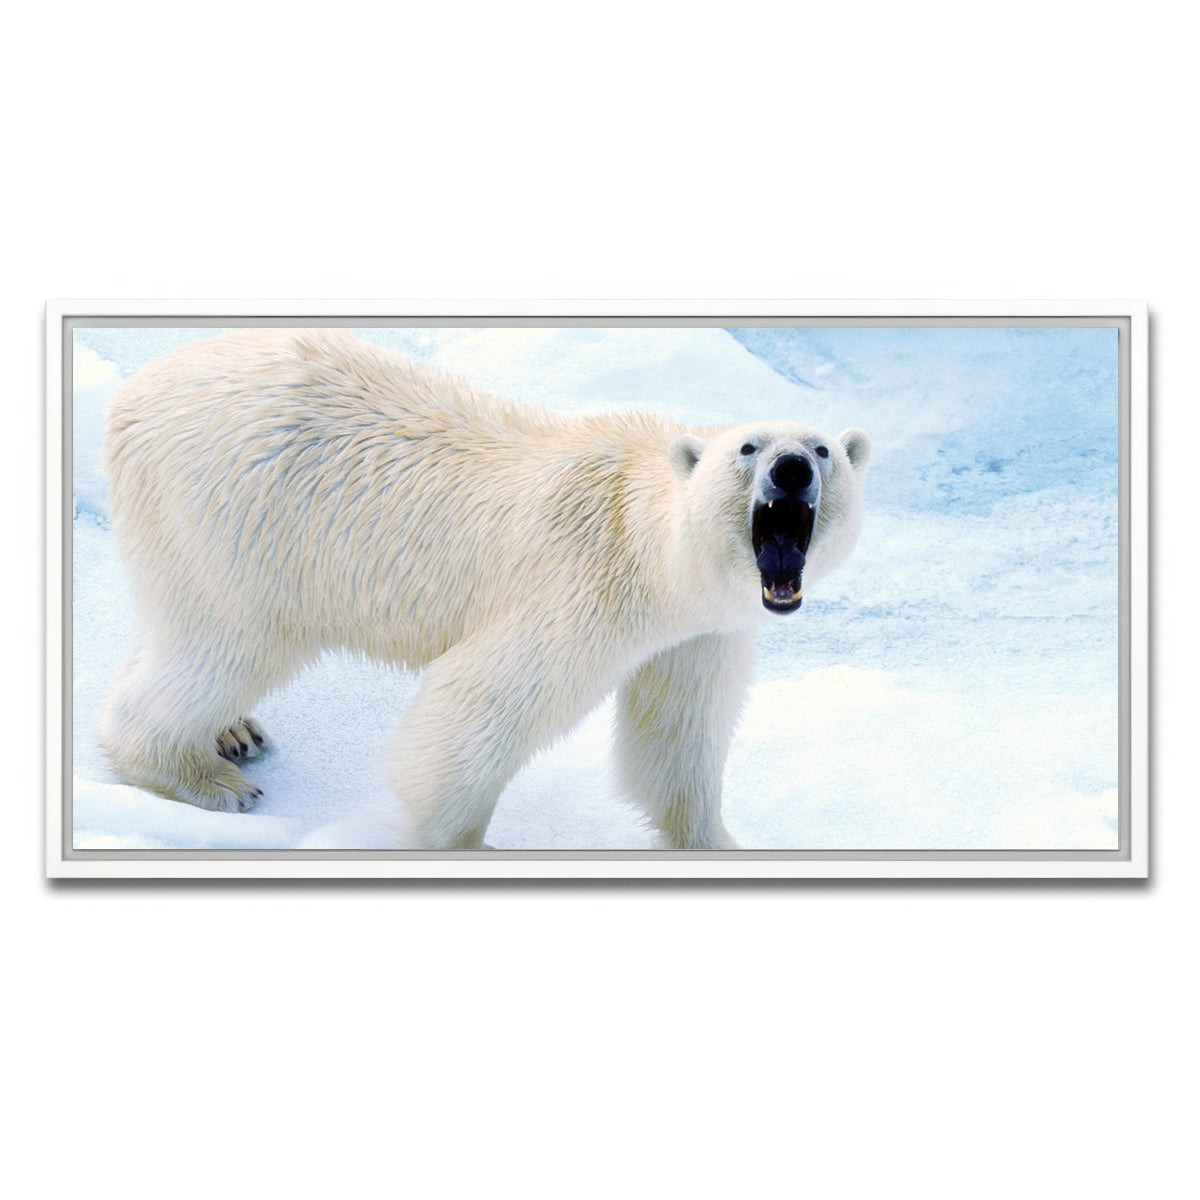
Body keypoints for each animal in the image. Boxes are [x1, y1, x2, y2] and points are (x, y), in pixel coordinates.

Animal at [99, 328, 870, 850]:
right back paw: (204, 776)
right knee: (225, 642)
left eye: (823, 448)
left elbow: (676, 737)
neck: (649, 543)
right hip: (239, 520)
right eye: (749, 447)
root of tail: (133, 393)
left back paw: (234, 731)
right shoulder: (581, 589)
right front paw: (464, 841)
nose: (793, 469)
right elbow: (475, 707)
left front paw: (715, 839)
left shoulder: (701, 632)